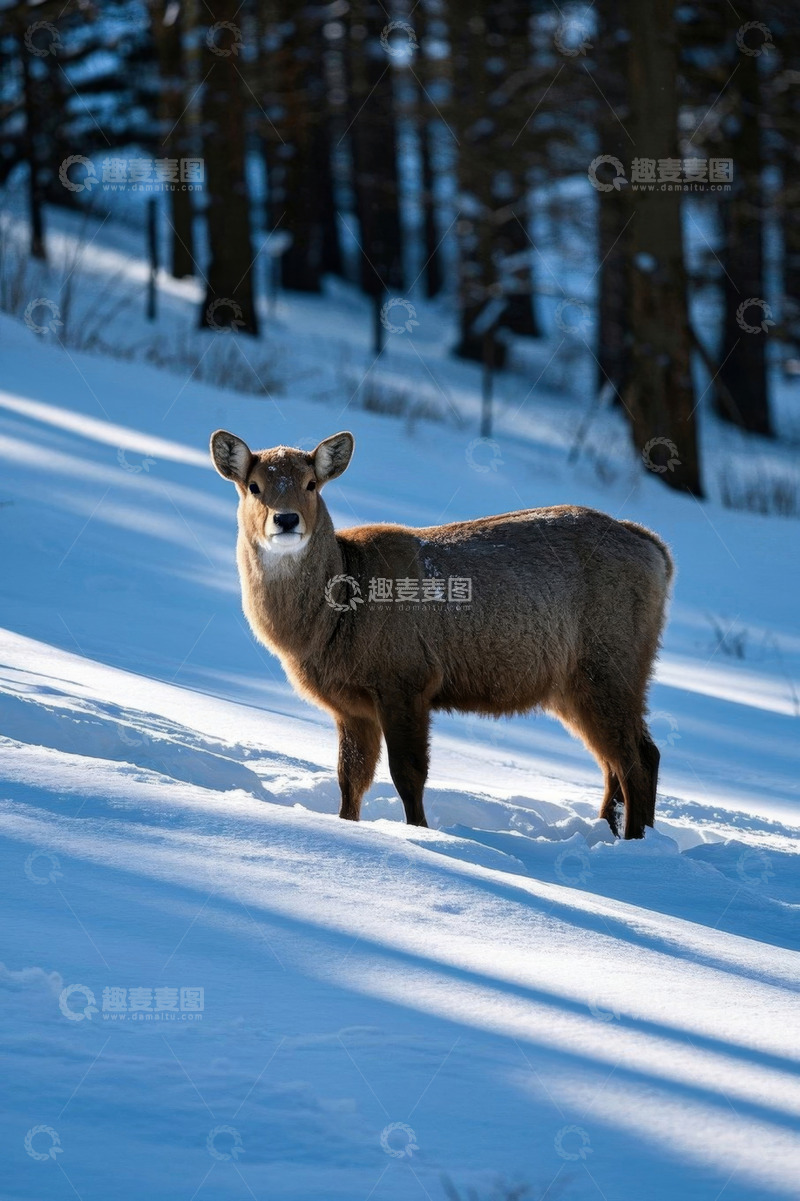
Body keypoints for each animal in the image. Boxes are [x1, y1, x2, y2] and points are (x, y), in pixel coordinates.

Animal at [210, 429, 674, 840]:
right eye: (253, 486)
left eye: (311, 484)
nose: (286, 519)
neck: (330, 624)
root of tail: (658, 551)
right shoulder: (351, 706)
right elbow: (350, 779)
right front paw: (347, 826)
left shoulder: (407, 677)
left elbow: (407, 774)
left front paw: (421, 833)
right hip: (572, 685)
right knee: (621, 760)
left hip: (611, 662)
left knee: (637, 759)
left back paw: (637, 846)